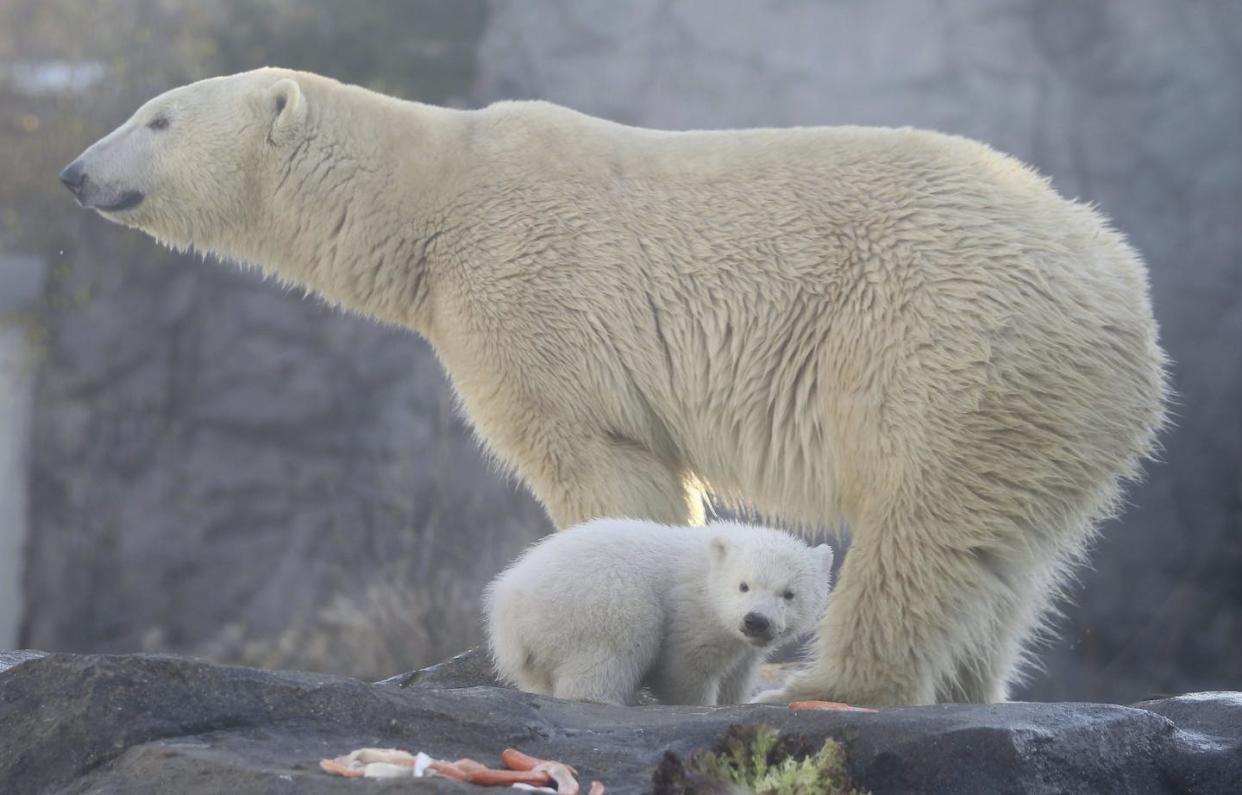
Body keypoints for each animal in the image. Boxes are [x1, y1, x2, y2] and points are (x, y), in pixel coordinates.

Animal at [58, 66, 1162, 700]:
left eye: (157, 118)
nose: (73, 172)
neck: (432, 203)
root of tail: (1122, 292)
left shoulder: (532, 293)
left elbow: (596, 462)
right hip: (1048, 410)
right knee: (1005, 560)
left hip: (944, 347)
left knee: (916, 533)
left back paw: (826, 683)